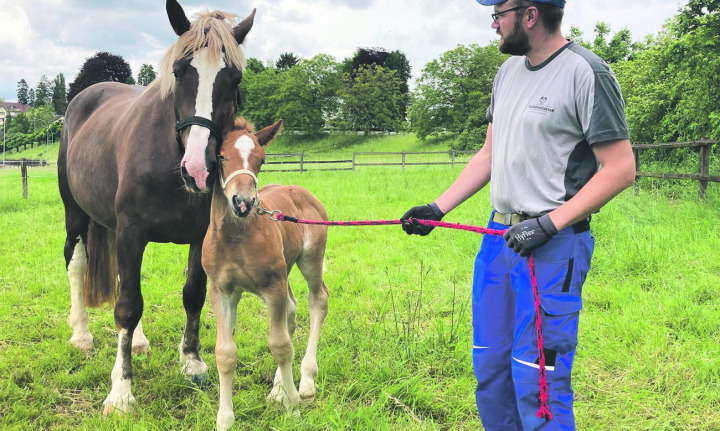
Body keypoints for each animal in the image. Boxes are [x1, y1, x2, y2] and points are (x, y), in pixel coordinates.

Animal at [59, 0, 256, 416]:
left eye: (234, 79)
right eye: (180, 72)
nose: (198, 169)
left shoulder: (198, 236)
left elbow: (192, 293)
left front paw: (192, 362)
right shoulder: (131, 233)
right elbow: (127, 306)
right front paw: (120, 392)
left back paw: (135, 342)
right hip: (76, 214)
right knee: (76, 263)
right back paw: (81, 334)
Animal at [201, 119, 328, 431]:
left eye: (262, 159)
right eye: (221, 156)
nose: (243, 202)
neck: (236, 237)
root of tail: (301, 191)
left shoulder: (273, 285)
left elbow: (280, 345)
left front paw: (293, 407)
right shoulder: (221, 290)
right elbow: (225, 353)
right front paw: (225, 418)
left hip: (309, 260)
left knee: (318, 301)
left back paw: (305, 381)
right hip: (285, 269)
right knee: (292, 311)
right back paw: (278, 388)